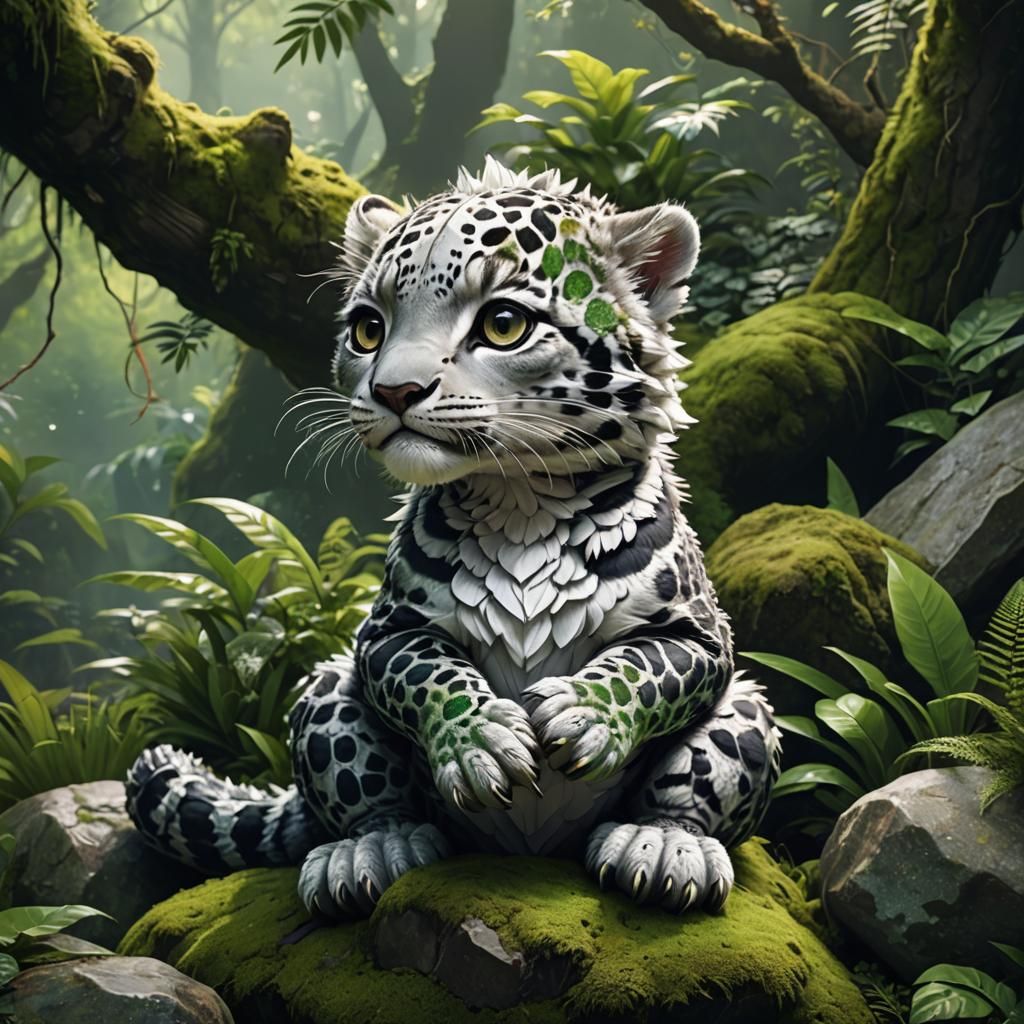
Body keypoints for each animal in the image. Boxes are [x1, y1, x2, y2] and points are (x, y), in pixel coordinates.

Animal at [127, 158, 782, 919]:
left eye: (503, 324)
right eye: (368, 329)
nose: (394, 392)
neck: (521, 502)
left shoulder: (699, 634)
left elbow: (646, 667)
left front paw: (578, 714)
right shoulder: (385, 633)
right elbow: (423, 671)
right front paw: (483, 742)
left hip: (745, 706)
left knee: (697, 779)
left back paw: (664, 846)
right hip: (327, 686)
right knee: (365, 795)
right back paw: (370, 851)